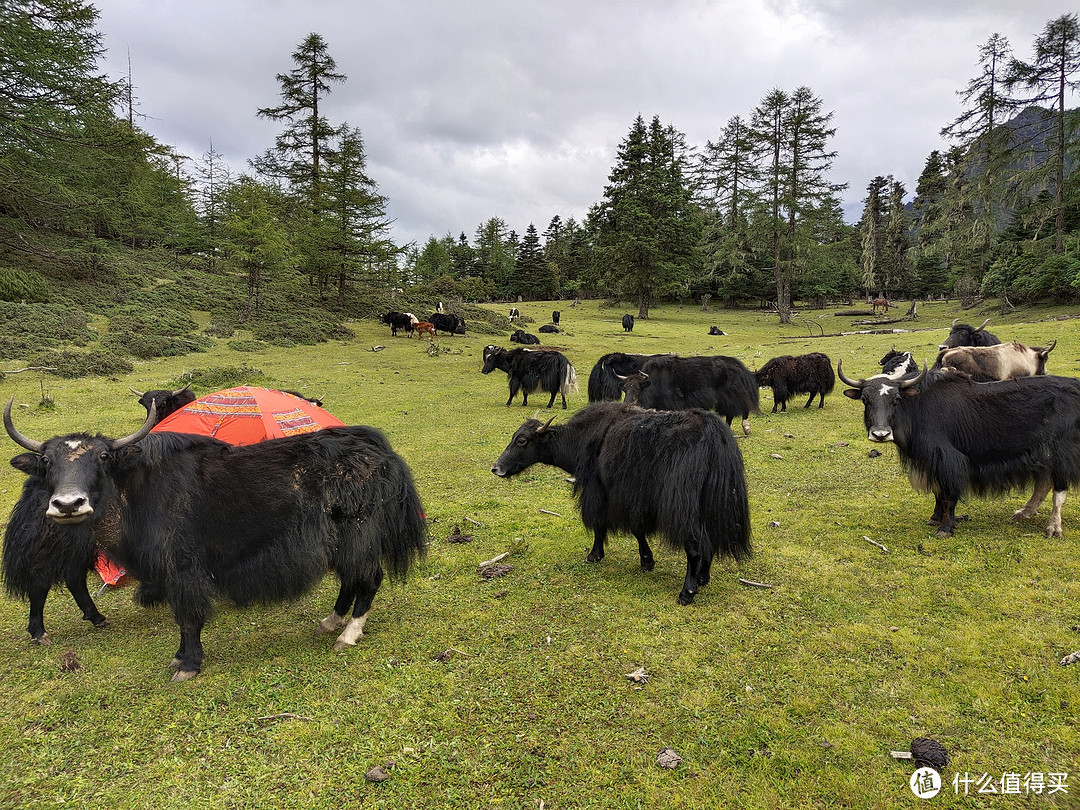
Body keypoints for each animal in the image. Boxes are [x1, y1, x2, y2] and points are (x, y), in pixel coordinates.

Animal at [492, 403, 751, 604]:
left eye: (522, 440)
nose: (496, 468)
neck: (582, 438)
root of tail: (713, 432)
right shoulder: (636, 500)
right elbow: (637, 529)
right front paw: (647, 561)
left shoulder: (601, 491)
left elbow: (600, 524)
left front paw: (595, 555)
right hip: (712, 503)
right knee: (711, 539)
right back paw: (703, 578)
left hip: (682, 505)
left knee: (696, 546)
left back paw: (687, 592)